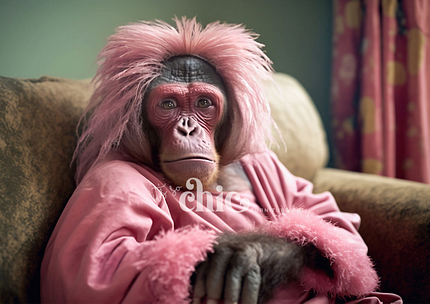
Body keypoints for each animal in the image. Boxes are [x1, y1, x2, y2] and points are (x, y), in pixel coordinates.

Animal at [39, 17, 400, 304]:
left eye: (203, 103)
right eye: (168, 105)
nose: (188, 127)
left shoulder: (267, 162)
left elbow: (333, 222)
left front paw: (256, 253)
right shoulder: (110, 182)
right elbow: (109, 264)